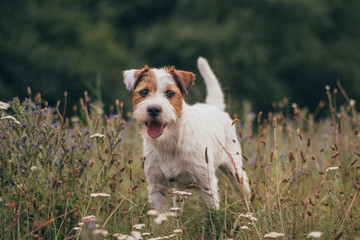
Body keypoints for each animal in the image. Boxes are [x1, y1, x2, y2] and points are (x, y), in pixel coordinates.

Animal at [124, 57, 250, 211]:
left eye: (170, 93)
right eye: (143, 92)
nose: (153, 109)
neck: (170, 142)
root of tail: (214, 107)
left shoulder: (206, 183)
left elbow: (212, 213)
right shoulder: (157, 186)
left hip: (236, 171)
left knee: (243, 191)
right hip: (179, 189)